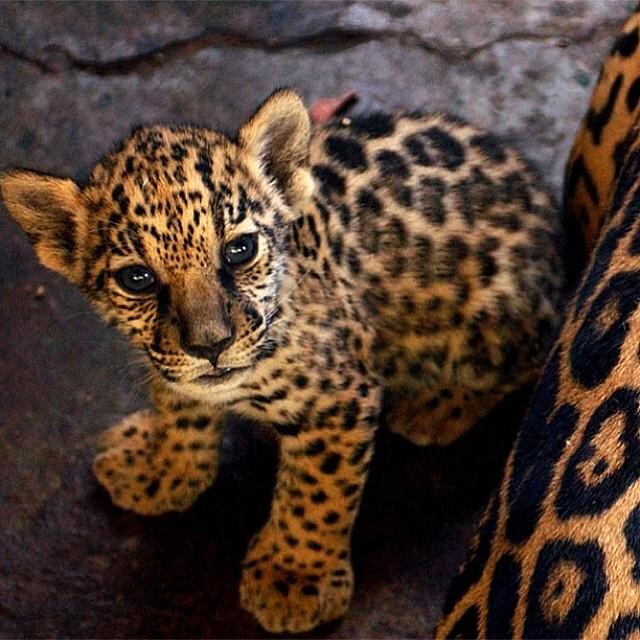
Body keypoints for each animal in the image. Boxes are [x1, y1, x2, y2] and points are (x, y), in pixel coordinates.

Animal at [0, 89, 566, 633]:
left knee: (538, 348)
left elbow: (316, 494)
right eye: (137, 279)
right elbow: (179, 410)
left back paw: (435, 406)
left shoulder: (340, 400)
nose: (209, 345)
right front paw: (161, 467)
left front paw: (295, 578)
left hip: (491, 321)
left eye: (239, 250)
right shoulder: (172, 368)